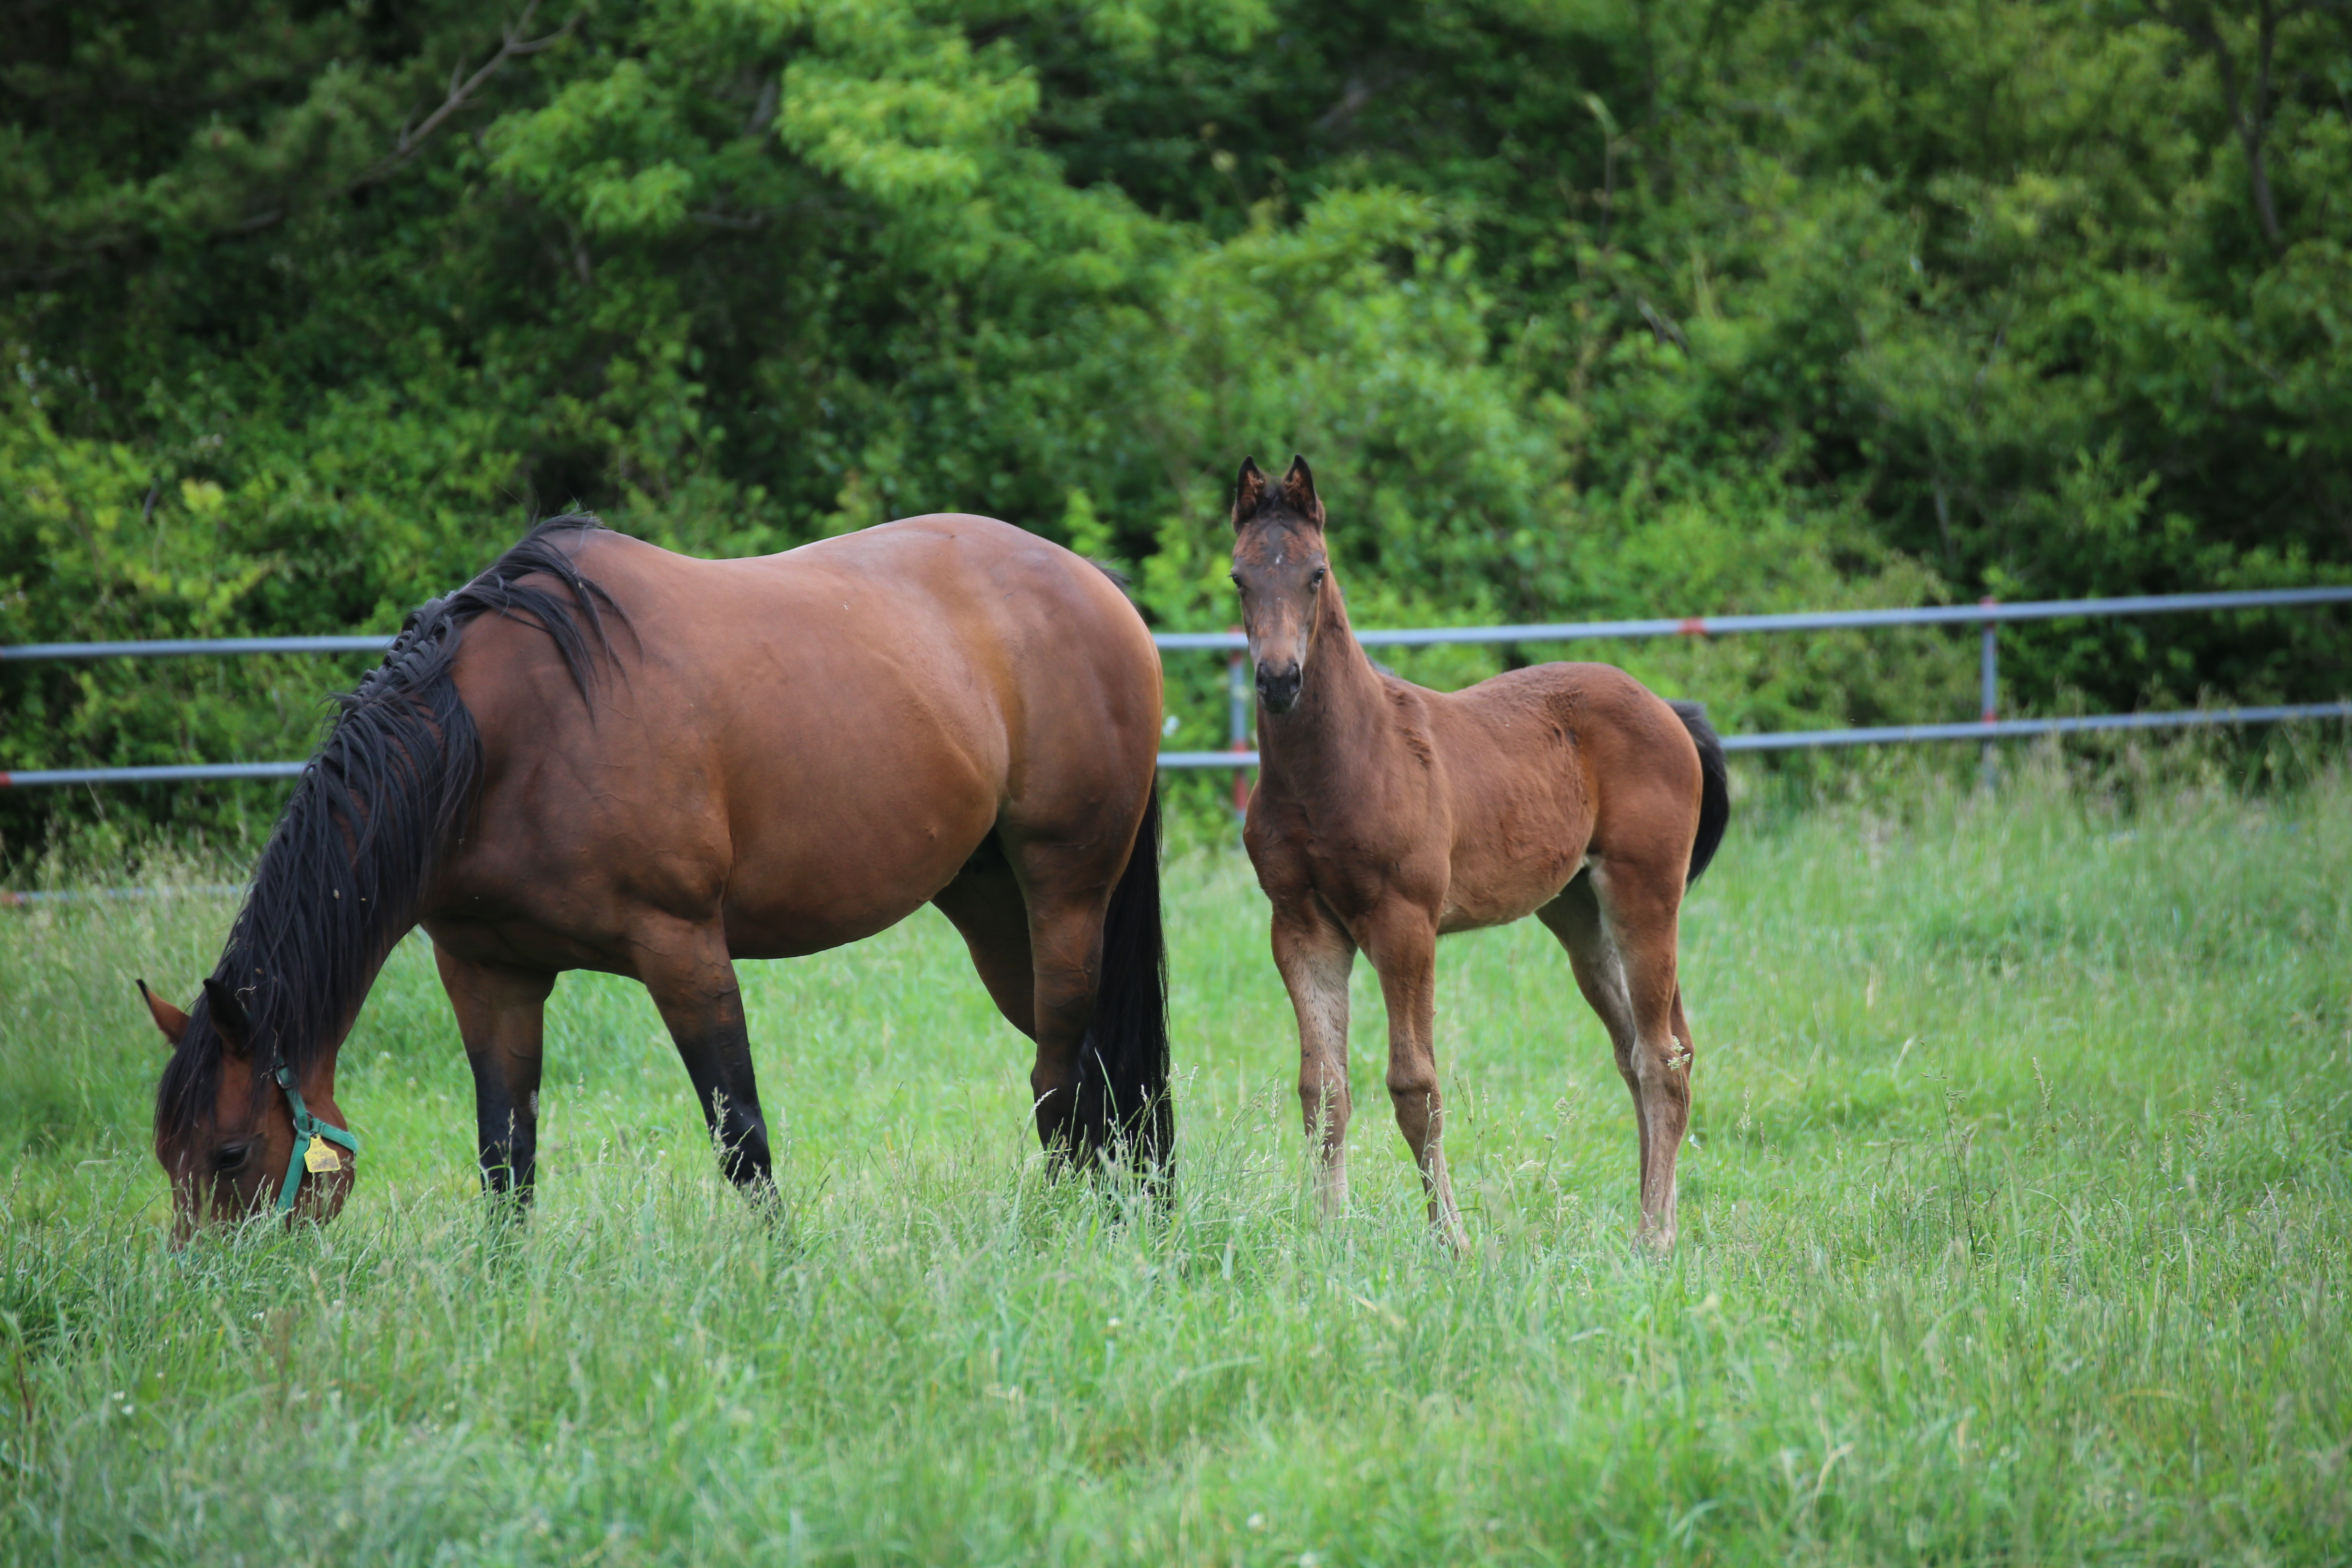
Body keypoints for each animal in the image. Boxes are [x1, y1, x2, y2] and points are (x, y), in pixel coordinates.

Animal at [142, 514, 1171, 1241]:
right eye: (166, 1154)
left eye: (230, 1151)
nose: (216, 1291)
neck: (499, 740)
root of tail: (1097, 587)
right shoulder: (488, 974)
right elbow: (505, 1154)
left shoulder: (682, 950)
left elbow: (740, 1135)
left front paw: (785, 1268)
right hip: (992, 908)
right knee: (1096, 1074)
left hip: (1065, 894)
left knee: (1062, 1081)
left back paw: (1060, 1228)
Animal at [1232, 454, 1731, 1250]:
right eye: (1240, 579)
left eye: (1316, 573)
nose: (1279, 681)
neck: (1339, 762)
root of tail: (1667, 711)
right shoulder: (1301, 925)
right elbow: (1323, 1090)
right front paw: (1328, 1238)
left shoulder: (1404, 923)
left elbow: (1414, 1087)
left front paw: (1453, 1242)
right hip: (1579, 917)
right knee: (1645, 1052)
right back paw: (1661, 1221)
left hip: (1645, 895)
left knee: (1662, 1060)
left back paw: (1652, 1238)